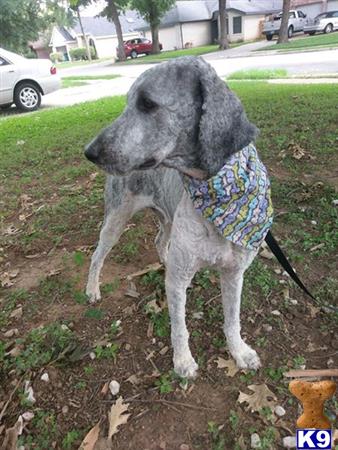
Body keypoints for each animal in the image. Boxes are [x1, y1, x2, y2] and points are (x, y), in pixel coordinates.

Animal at [86, 57, 260, 380]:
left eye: (147, 103)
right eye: (128, 102)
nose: (89, 152)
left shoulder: (234, 273)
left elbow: (232, 319)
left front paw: (239, 351)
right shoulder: (178, 282)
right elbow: (179, 328)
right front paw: (183, 361)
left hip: (166, 220)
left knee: (159, 242)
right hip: (115, 219)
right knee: (97, 256)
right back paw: (92, 289)